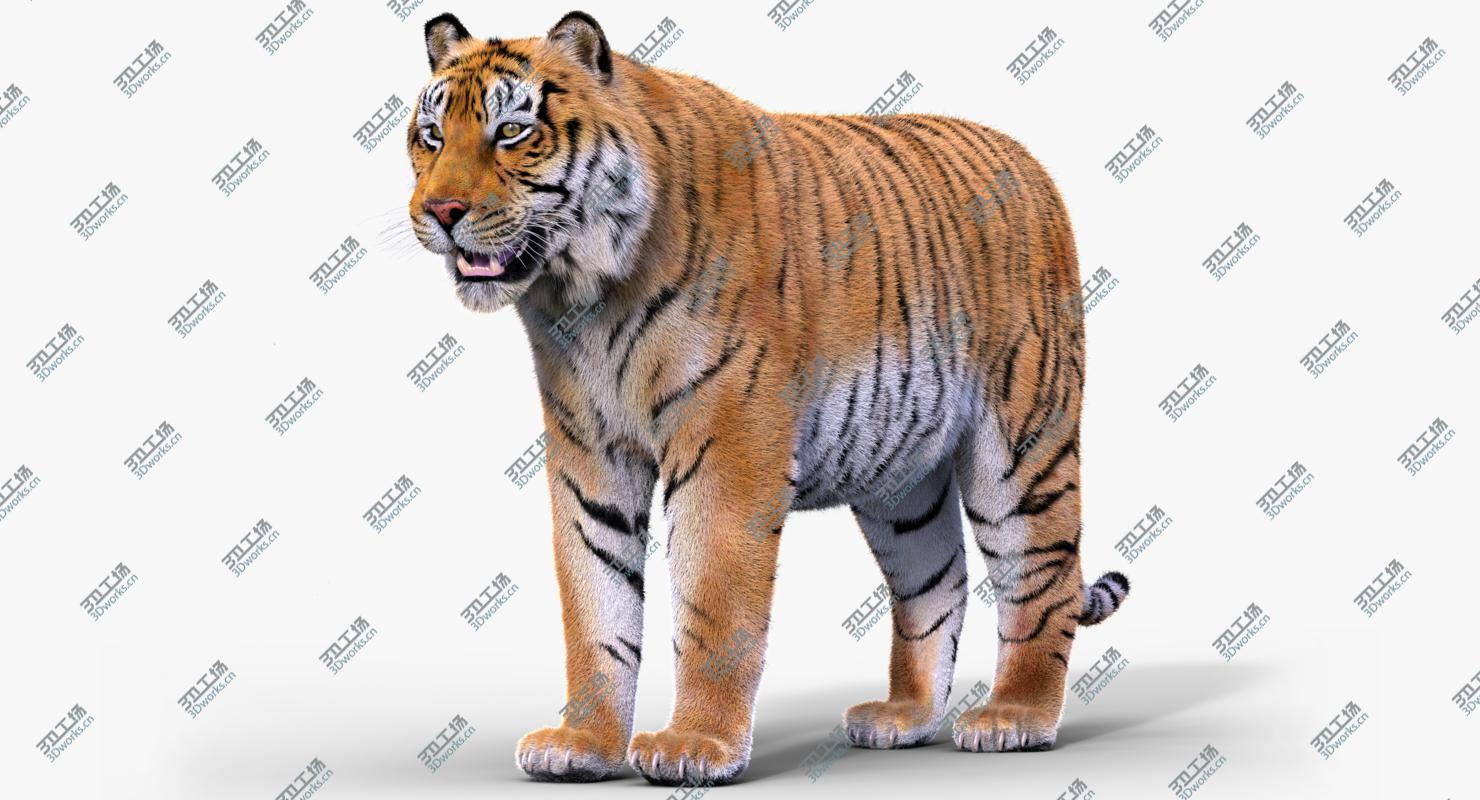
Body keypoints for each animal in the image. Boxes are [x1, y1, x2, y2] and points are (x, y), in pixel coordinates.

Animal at [406, 10, 1130, 785]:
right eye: (431, 134)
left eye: (512, 130)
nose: (439, 211)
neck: (582, 300)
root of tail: (1027, 158)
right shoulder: (590, 453)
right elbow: (595, 606)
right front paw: (584, 745)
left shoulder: (728, 447)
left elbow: (713, 604)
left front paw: (695, 746)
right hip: (900, 477)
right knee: (937, 580)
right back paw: (904, 717)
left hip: (1021, 444)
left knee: (1044, 580)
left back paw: (1014, 717)